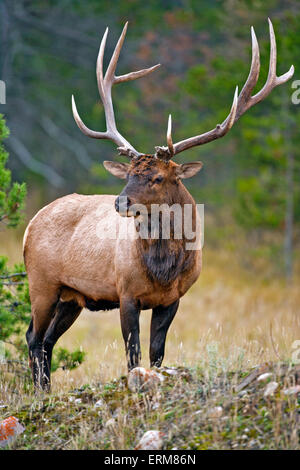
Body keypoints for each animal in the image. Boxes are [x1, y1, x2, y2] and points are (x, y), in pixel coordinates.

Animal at [22, 20, 292, 392]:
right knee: (33, 336)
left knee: (47, 340)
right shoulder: (125, 293)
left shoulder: (173, 299)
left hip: (71, 296)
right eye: (129, 173)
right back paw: (40, 393)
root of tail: (30, 224)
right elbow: (133, 353)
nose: (120, 201)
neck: (164, 271)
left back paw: (45, 389)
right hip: (42, 282)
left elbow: (156, 353)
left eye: (158, 177)